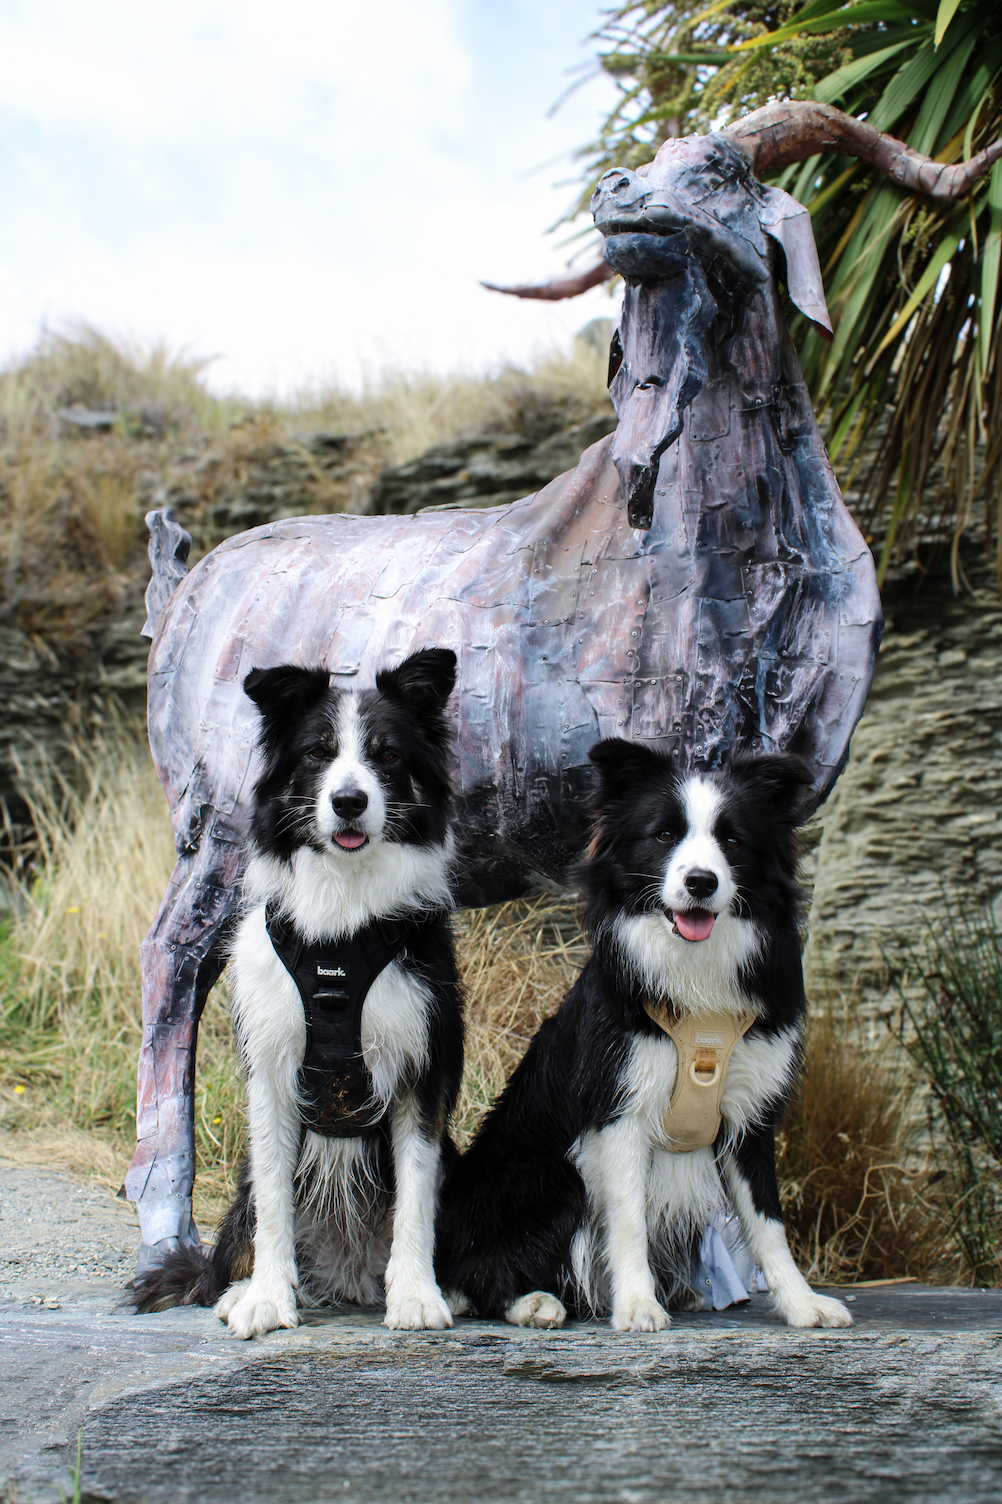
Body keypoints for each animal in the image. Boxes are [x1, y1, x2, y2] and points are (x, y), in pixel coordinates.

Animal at [132, 646, 464, 1335]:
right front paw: (266, 1298)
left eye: (387, 755)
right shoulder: (271, 1065)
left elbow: (416, 1193)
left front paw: (416, 1296)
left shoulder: (423, 1065)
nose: (348, 801)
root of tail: (347, 1276)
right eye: (317, 752)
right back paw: (238, 1289)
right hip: (240, 1199)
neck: (342, 920)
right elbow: (275, 1195)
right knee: (236, 1244)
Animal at [436, 738, 853, 1332]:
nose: (701, 881)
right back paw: (534, 1301)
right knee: (479, 1272)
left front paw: (802, 1302)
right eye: (663, 835)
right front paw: (637, 1305)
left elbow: (767, 1221)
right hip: (549, 1173)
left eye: (732, 839)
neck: (696, 979)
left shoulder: (749, 1114)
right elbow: (628, 1216)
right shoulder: (620, 1106)